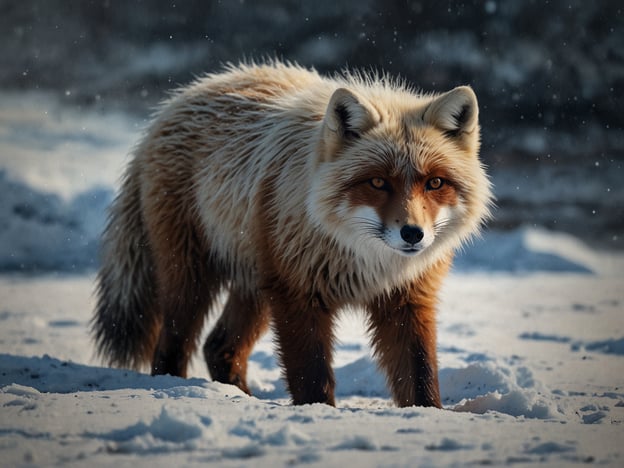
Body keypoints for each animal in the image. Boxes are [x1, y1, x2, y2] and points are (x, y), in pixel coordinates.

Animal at [92, 61, 492, 406]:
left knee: (219, 347)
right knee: (171, 350)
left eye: (435, 183)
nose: (413, 234)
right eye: (378, 182)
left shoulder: (408, 299)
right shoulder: (298, 294)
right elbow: (312, 378)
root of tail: (175, 102)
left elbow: (420, 377)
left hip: (255, 284)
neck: (365, 260)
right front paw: (318, 415)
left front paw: (429, 415)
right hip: (194, 278)